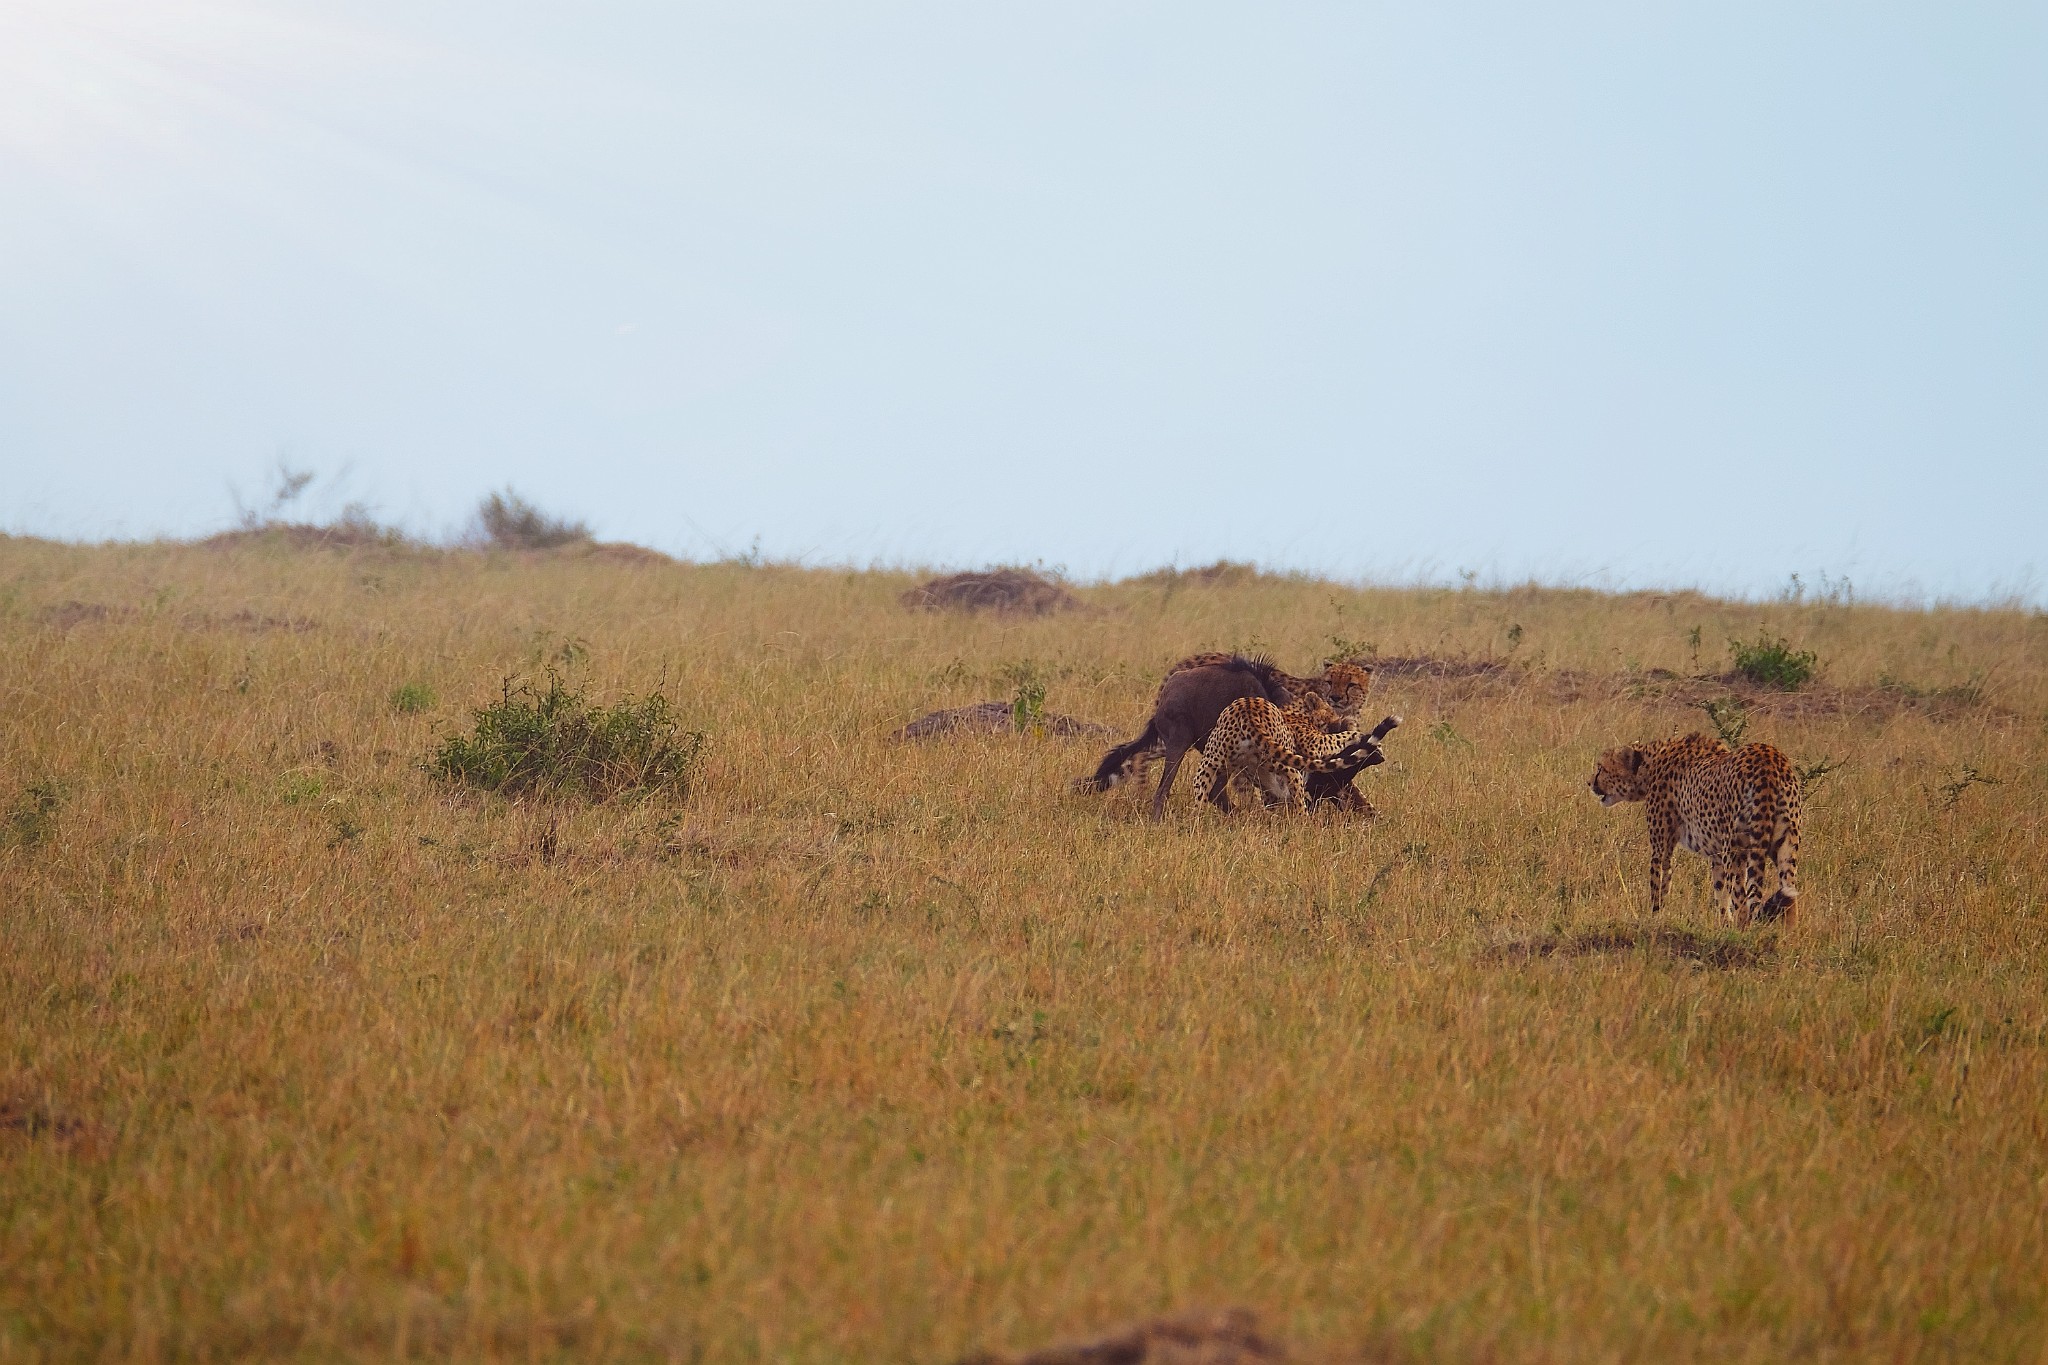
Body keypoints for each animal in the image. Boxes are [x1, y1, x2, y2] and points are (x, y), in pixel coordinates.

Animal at [1196, 699, 1400, 818]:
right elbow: (1339, 737)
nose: (1344, 719)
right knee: (1299, 804)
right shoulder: (1317, 744)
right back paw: (1304, 828)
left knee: (1201, 798)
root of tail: (1248, 712)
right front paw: (1359, 735)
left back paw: (1198, 825)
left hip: (1209, 766)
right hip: (1288, 767)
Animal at [1589, 736, 1802, 929]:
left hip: (1736, 851)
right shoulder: (1715, 855)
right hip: (1786, 846)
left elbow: (1658, 885)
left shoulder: (1661, 849)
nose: (1589, 782)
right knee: (1789, 898)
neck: (1650, 765)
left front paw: (1653, 918)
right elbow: (1719, 891)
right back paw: (1786, 938)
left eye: (1601, 768)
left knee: (1743, 902)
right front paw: (1723, 928)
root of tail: (1769, 758)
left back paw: (1742, 932)